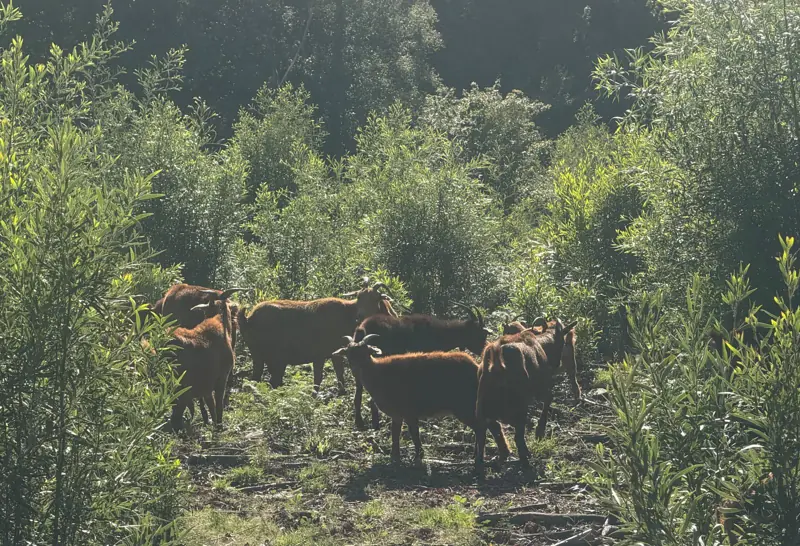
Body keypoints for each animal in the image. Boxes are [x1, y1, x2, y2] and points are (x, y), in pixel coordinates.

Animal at [152, 283, 247, 424]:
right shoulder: (220, 379)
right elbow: (218, 407)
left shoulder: (206, 386)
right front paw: (217, 423)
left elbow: (211, 406)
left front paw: (208, 419)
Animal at [238, 280, 396, 391]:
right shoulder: (321, 354)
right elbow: (319, 379)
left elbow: (339, 374)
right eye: (359, 297)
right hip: (269, 357)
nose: (360, 317)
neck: (346, 314)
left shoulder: (334, 353)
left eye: (375, 298)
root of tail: (248, 318)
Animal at [333, 334, 509, 469]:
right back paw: (500, 455)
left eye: (364, 352)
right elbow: (396, 434)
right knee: (492, 425)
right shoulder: (398, 414)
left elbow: (413, 434)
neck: (378, 373)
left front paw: (418, 457)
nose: (355, 368)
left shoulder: (408, 411)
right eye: (348, 353)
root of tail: (476, 367)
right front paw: (395, 457)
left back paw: (479, 459)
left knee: (482, 427)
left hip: (464, 406)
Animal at [351, 302, 492, 429]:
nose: (485, 351)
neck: (439, 332)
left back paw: (362, 422)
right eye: (481, 334)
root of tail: (362, 329)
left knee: (358, 392)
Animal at [476, 318, 577, 468]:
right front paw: (540, 431)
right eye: (562, 341)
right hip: (520, 405)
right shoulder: (541, 387)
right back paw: (525, 458)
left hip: (482, 410)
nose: (557, 363)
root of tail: (497, 363)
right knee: (518, 436)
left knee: (482, 437)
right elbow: (549, 398)